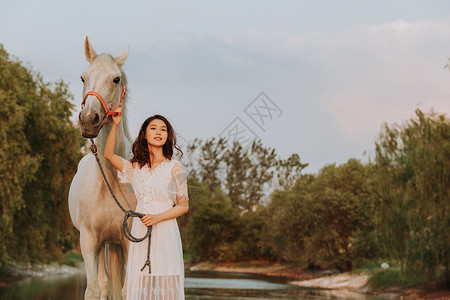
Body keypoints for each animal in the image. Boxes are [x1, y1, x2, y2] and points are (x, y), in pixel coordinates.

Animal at [68, 37, 137, 300]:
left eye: (116, 79)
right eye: (83, 77)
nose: (89, 120)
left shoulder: (129, 241)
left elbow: (127, 290)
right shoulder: (88, 241)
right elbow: (94, 289)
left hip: (114, 243)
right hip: (103, 245)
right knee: (104, 283)